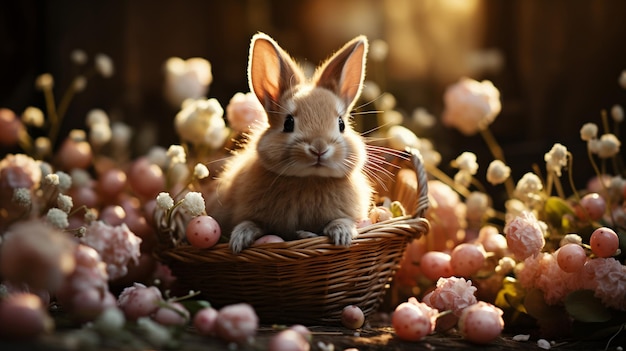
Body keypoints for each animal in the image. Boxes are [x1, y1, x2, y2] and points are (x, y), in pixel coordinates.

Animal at [207, 32, 370, 253]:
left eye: (341, 124)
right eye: (288, 123)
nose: (319, 148)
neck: (308, 178)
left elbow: (342, 220)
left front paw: (341, 235)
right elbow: (251, 223)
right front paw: (239, 240)